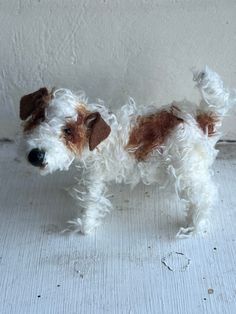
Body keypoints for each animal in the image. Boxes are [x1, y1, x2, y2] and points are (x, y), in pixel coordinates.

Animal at [19, 67, 236, 238]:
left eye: (68, 131)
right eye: (39, 118)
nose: (35, 155)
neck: (96, 141)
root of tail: (203, 119)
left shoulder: (94, 176)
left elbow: (90, 201)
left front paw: (84, 226)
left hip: (187, 167)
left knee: (206, 195)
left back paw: (195, 226)